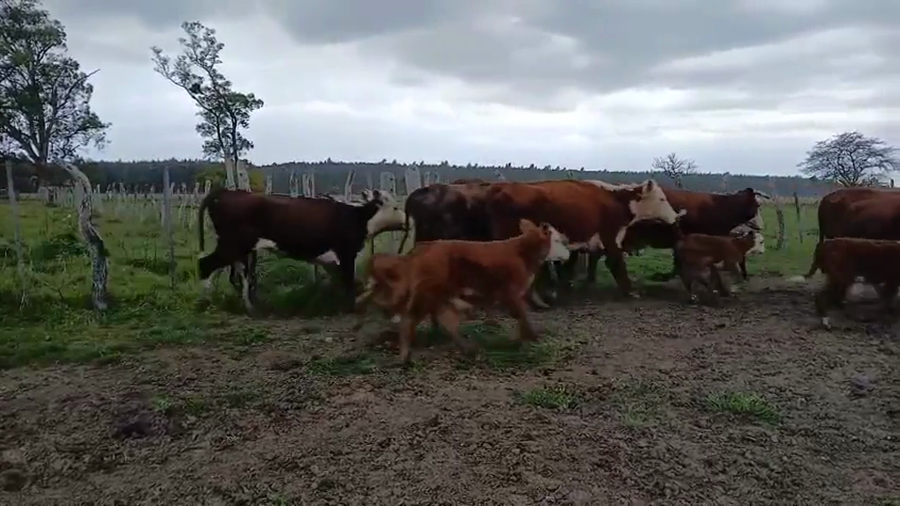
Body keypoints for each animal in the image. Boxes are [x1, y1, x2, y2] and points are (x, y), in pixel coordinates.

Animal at [196, 187, 405, 313]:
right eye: (395, 207)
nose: (406, 221)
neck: (356, 218)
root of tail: (226, 192)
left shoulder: (333, 261)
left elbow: (341, 282)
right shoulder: (346, 254)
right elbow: (348, 282)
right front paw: (350, 307)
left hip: (239, 250)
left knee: (238, 275)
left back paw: (250, 307)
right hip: (230, 246)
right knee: (205, 265)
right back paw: (207, 302)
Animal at [394, 219, 571, 364]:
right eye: (557, 240)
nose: (568, 247)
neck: (522, 252)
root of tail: (423, 247)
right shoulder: (511, 293)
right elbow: (521, 315)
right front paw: (529, 341)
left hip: (441, 295)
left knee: (448, 321)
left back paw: (469, 349)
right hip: (426, 293)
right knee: (409, 319)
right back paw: (404, 357)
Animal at [485, 179, 683, 301]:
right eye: (661, 198)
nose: (675, 217)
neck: (616, 200)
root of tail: (501, 188)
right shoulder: (610, 238)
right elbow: (617, 264)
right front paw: (630, 292)